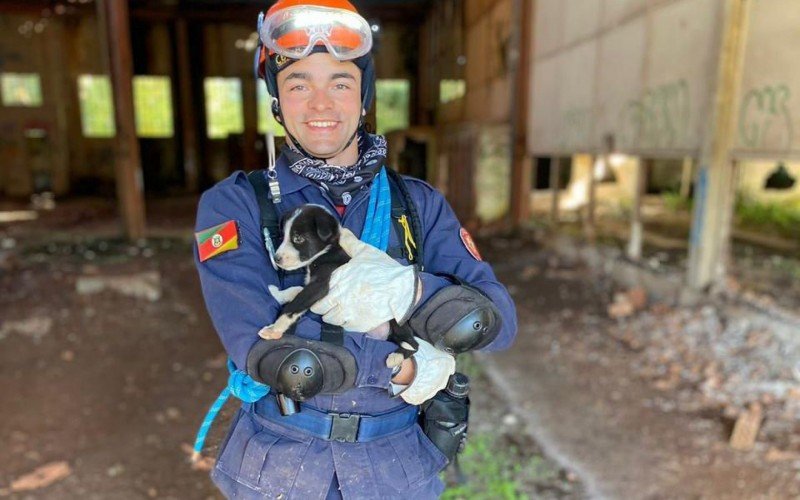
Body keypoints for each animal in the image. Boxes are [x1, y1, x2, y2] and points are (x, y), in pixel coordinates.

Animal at [258, 203, 422, 368]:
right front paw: (277, 293)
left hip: (396, 319)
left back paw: (396, 356)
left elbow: (296, 304)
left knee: (414, 344)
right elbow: (296, 291)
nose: (276, 259)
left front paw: (274, 329)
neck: (326, 252)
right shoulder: (314, 286)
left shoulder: (321, 284)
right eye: (282, 237)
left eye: (298, 238)